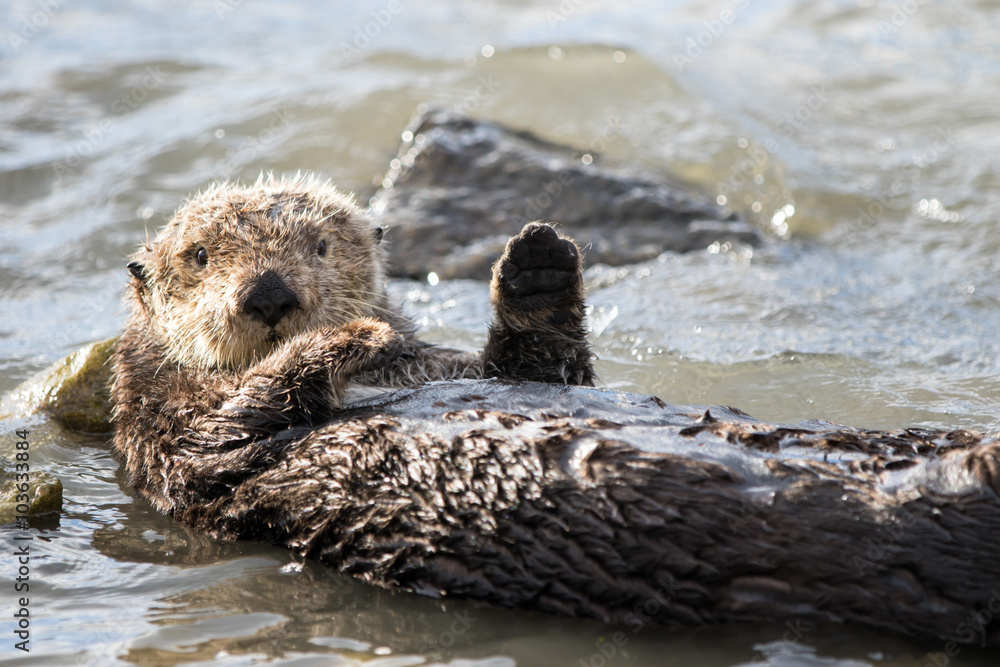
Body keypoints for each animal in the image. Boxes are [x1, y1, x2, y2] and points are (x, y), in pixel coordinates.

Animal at [112, 174, 1000, 646]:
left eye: (322, 246)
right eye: (199, 256)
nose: (268, 292)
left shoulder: (482, 366)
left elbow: (541, 367)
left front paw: (537, 263)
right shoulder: (178, 442)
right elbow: (249, 410)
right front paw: (352, 333)